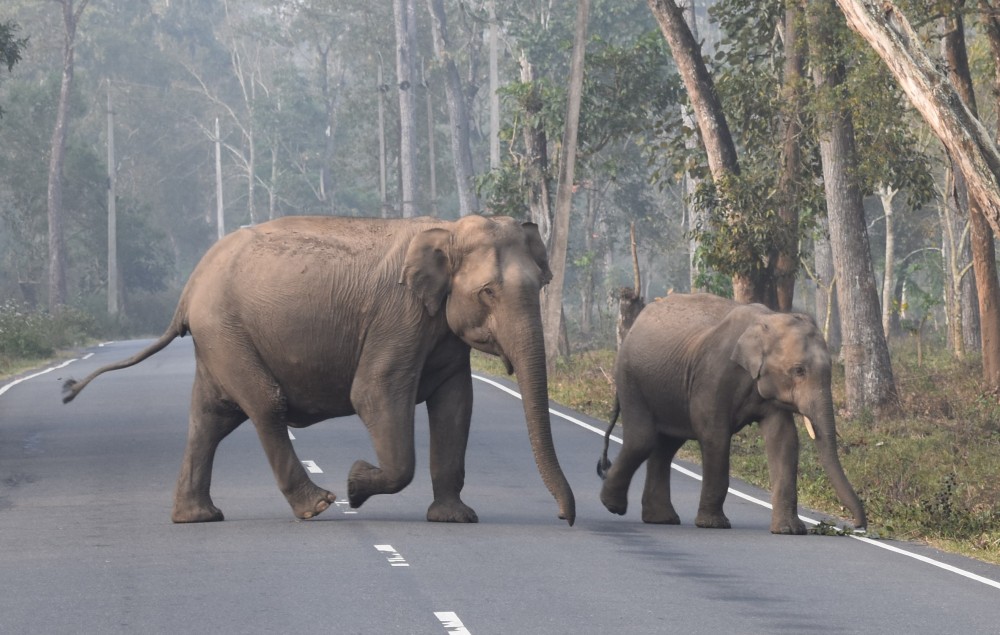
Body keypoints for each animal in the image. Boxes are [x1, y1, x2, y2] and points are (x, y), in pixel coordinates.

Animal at [64, 214, 580, 528]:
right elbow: (374, 393)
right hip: (226, 332)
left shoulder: (442, 334)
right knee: (264, 405)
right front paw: (355, 483)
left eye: (541, 283)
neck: (447, 228)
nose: (564, 517)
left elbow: (456, 404)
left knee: (209, 418)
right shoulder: (399, 316)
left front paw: (455, 518)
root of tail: (189, 288)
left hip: (219, 340)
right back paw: (318, 504)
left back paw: (198, 517)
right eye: (488, 292)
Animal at [596, 296, 864, 536]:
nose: (857, 525)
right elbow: (715, 436)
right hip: (630, 378)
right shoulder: (713, 376)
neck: (768, 318)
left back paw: (661, 519)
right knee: (642, 440)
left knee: (665, 447)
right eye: (799, 370)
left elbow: (784, 440)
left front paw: (790, 530)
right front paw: (714, 524)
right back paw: (613, 506)